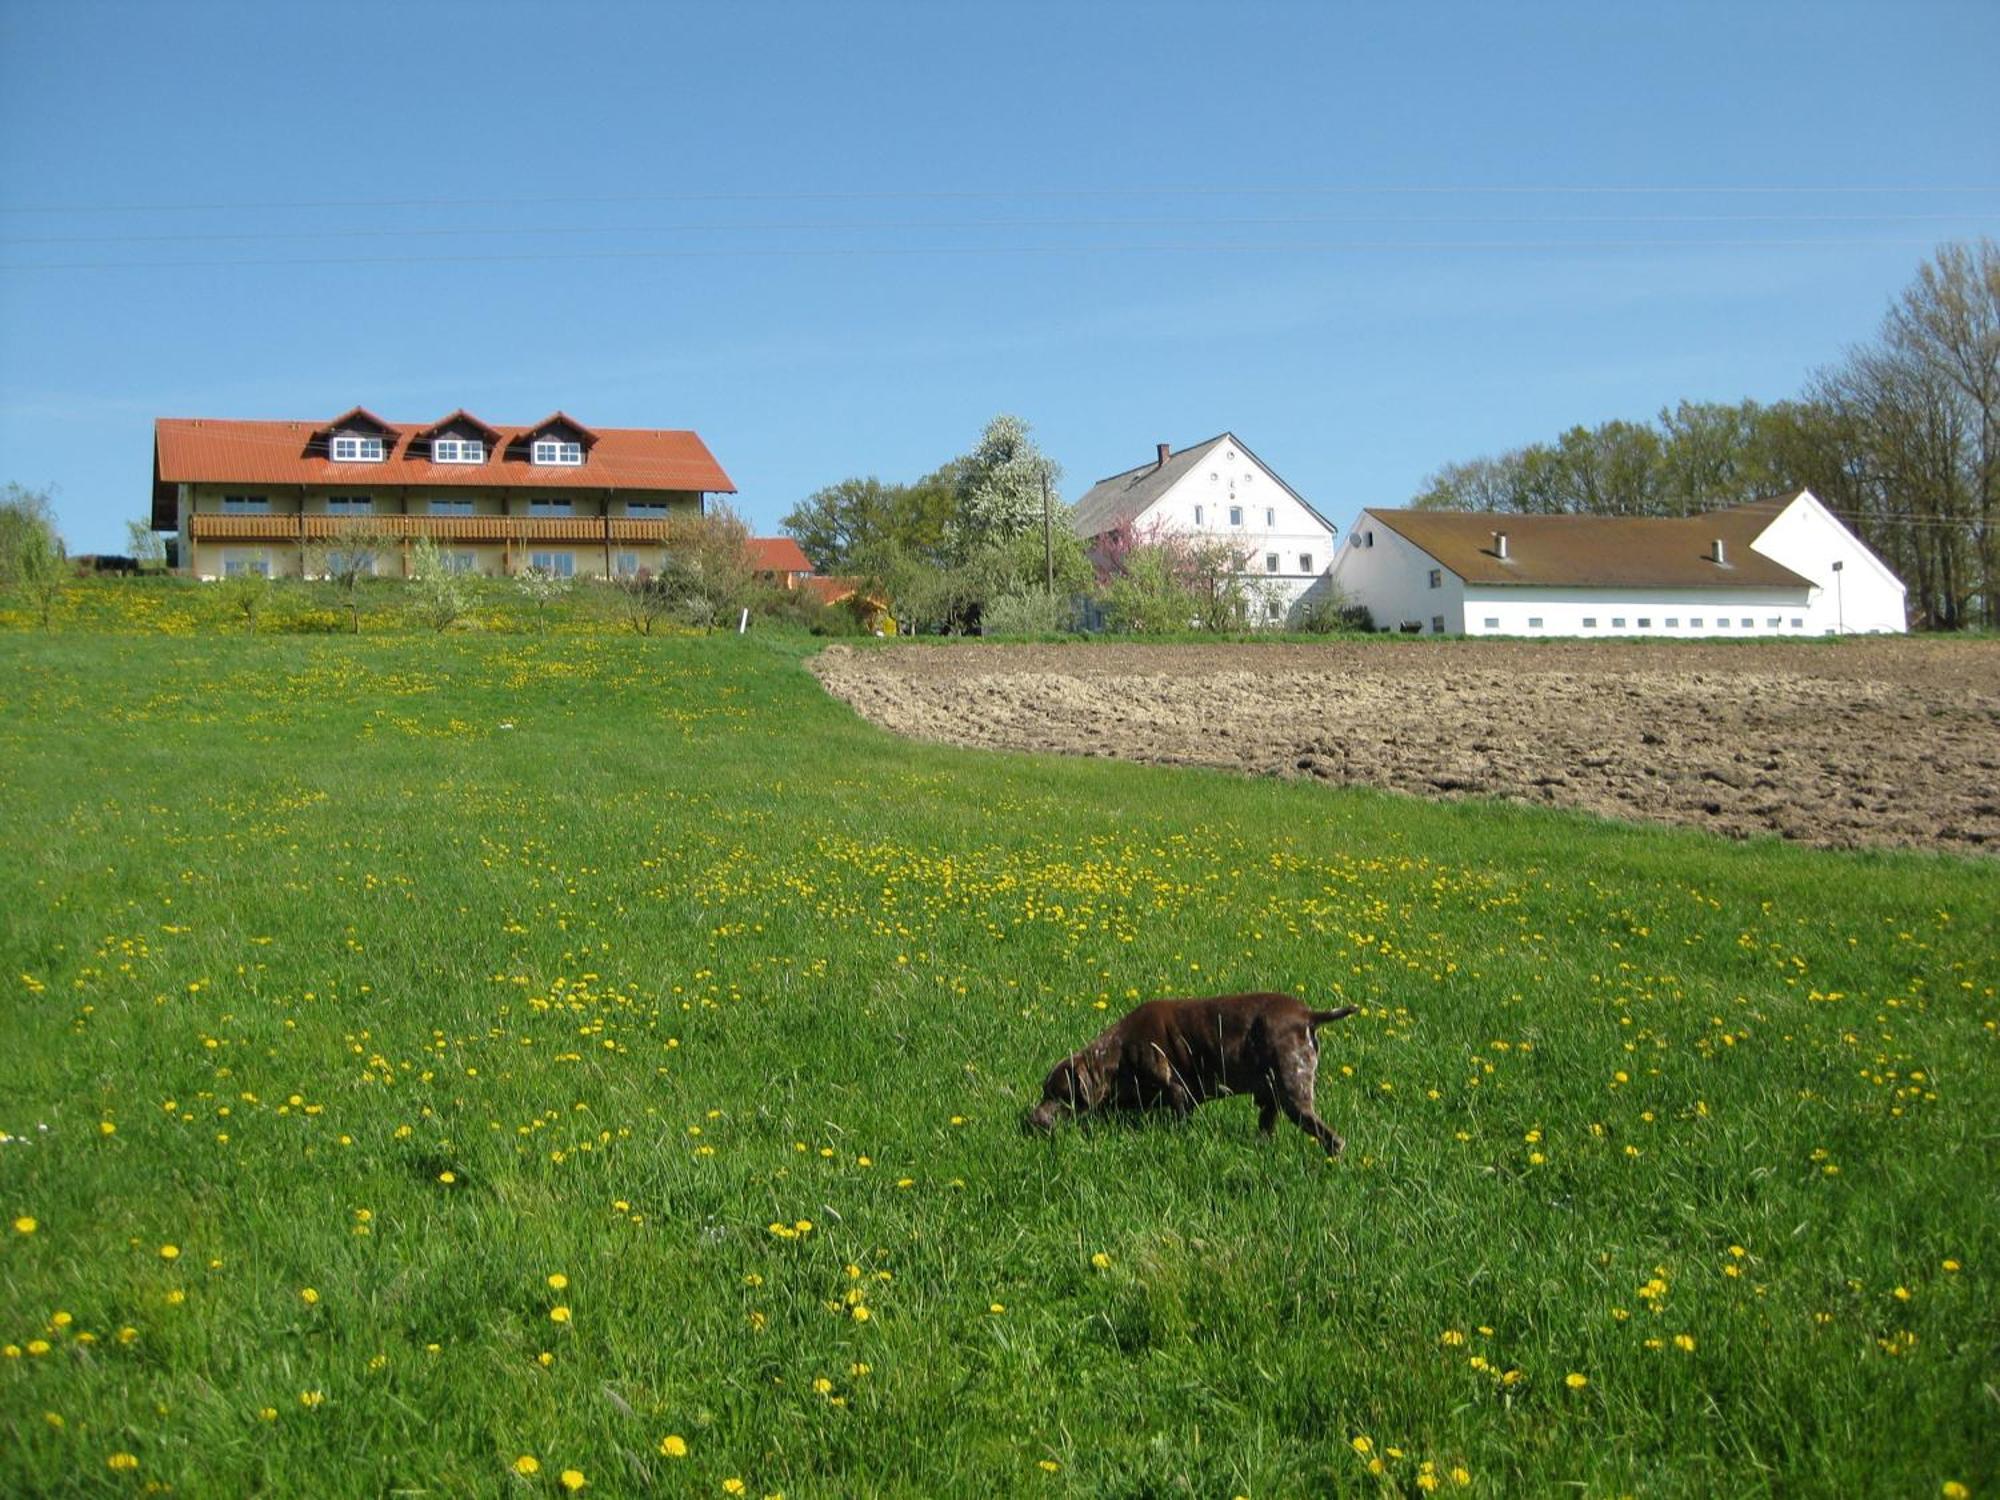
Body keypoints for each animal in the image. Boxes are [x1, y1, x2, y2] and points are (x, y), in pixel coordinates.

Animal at [1032, 1000, 1360, 1160]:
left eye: (1058, 1094)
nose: (1032, 1119)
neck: (1118, 1053)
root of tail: (1307, 1015)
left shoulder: (1178, 1092)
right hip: (1273, 1098)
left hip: (1295, 1094)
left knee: (1334, 1139)